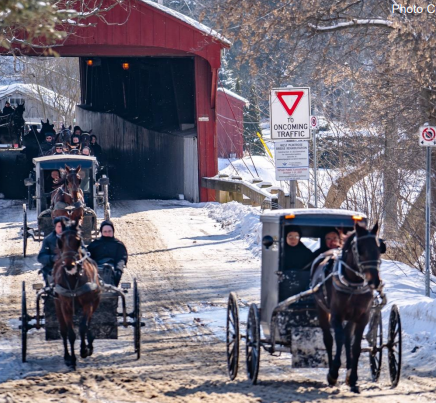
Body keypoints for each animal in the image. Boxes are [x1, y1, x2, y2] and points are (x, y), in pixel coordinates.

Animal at [312, 223, 380, 392]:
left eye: (379, 248)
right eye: (360, 249)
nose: (375, 281)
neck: (353, 283)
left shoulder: (363, 317)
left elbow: (355, 346)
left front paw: (353, 377)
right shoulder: (336, 315)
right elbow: (338, 339)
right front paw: (333, 373)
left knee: (348, 338)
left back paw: (348, 370)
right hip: (322, 310)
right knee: (329, 339)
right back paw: (332, 371)